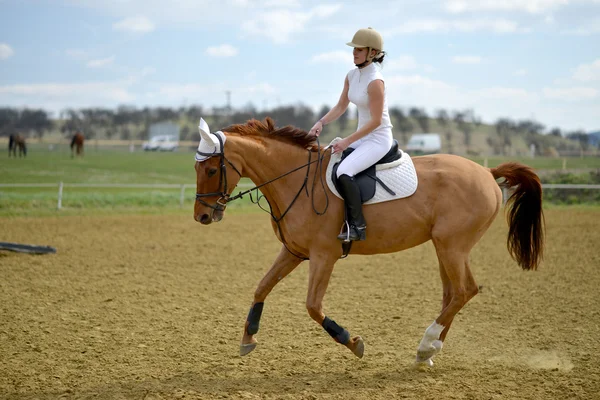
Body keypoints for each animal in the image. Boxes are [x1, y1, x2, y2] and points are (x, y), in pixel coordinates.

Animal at [192, 117, 544, 368]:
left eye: (210, 169)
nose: (202, 216)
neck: (296, 181)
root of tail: (487, 172)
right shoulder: (293, 252)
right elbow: (261, 287)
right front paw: (247, 338)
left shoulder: (323, 256)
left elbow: (313, 306)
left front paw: (352, 342)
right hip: (444, 247)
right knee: (452, 294)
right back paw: (428, 351)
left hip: (452, 246)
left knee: (464, 291)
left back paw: (426, 344)